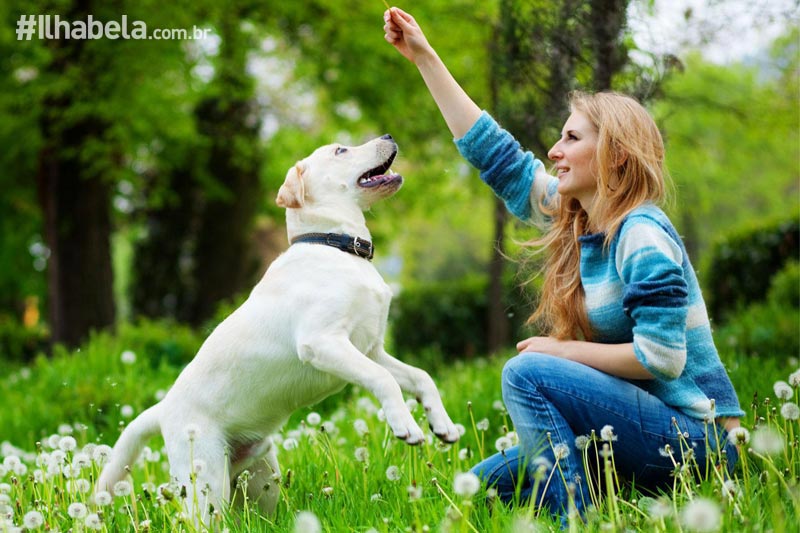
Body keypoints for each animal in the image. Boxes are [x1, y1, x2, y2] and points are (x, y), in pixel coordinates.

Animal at [95, 134, 456, 520]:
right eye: (340, 150)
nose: (388, 136)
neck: (336, 246)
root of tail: (163, 409)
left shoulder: (370, 349)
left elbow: (420, 376)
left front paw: (442, 424)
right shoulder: (323, 343)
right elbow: (383, 379)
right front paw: (406, 425)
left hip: (261, 479)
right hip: (206, 485)